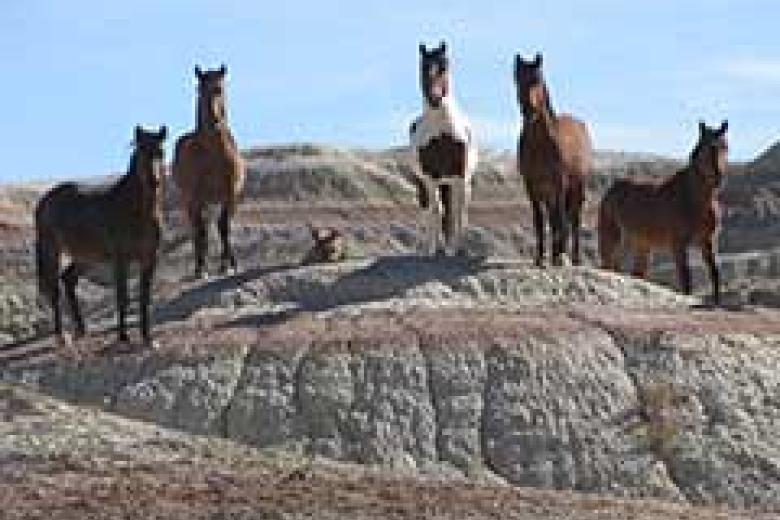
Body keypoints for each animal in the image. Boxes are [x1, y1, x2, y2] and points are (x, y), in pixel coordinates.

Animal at [35, 125, 167, 346]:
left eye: (161, 152)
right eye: (141, 152)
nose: (154, 181)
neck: (138, 211)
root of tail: (45, 200)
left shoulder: (149, 258)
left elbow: (144, 298)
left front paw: (148, 338)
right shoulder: (121, 259)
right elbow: (122, 296)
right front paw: (123, 337)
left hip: (85, 256)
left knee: (68, 279)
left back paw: (81, 330)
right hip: (52, 249)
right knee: (54, 289)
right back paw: (62, 337)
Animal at [173, 64, 246, 278]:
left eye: (219, 89)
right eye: (199, 89)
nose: (214, 120)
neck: (213, 155)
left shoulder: (230, 194)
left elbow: (224, 227)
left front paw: (226, 266)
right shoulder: (195, 196)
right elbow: (201, 231)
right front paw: (201, 269)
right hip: (192, 201)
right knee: (197, 230)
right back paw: (199, 265)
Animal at [409, 41, 478, 256]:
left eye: (444, 66)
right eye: (424, 67)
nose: (435, 98)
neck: (441, 131)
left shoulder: (459, 175)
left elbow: (456, 213)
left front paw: (455, 249)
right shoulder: (431, 177)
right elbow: (436, 210)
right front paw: (435, 250)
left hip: (454, 182)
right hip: (428, 184)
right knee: (431, 211)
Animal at [514, 53, 592, 267]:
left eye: (537, 80)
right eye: (517, 80)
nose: (529, 110)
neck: (540, 144)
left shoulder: (559, 183)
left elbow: (560, 220)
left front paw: (559, 257)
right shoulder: (531, 185)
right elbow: (540, 221)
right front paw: (540, 258)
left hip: (576, 187)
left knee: (573, 219)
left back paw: (573, 257)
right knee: (554, 217)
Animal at [598, 121, 728, 303]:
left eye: (725, 147)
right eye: (706, 148)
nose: (719, 177)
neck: (695, 200)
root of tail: (611, 190)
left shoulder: (708, 241)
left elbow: (714, 273)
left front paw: (717, 303)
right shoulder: (678, 244)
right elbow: (685, 277)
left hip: (642, 245)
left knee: (637, 273)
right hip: (612, 238)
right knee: (609, 266)